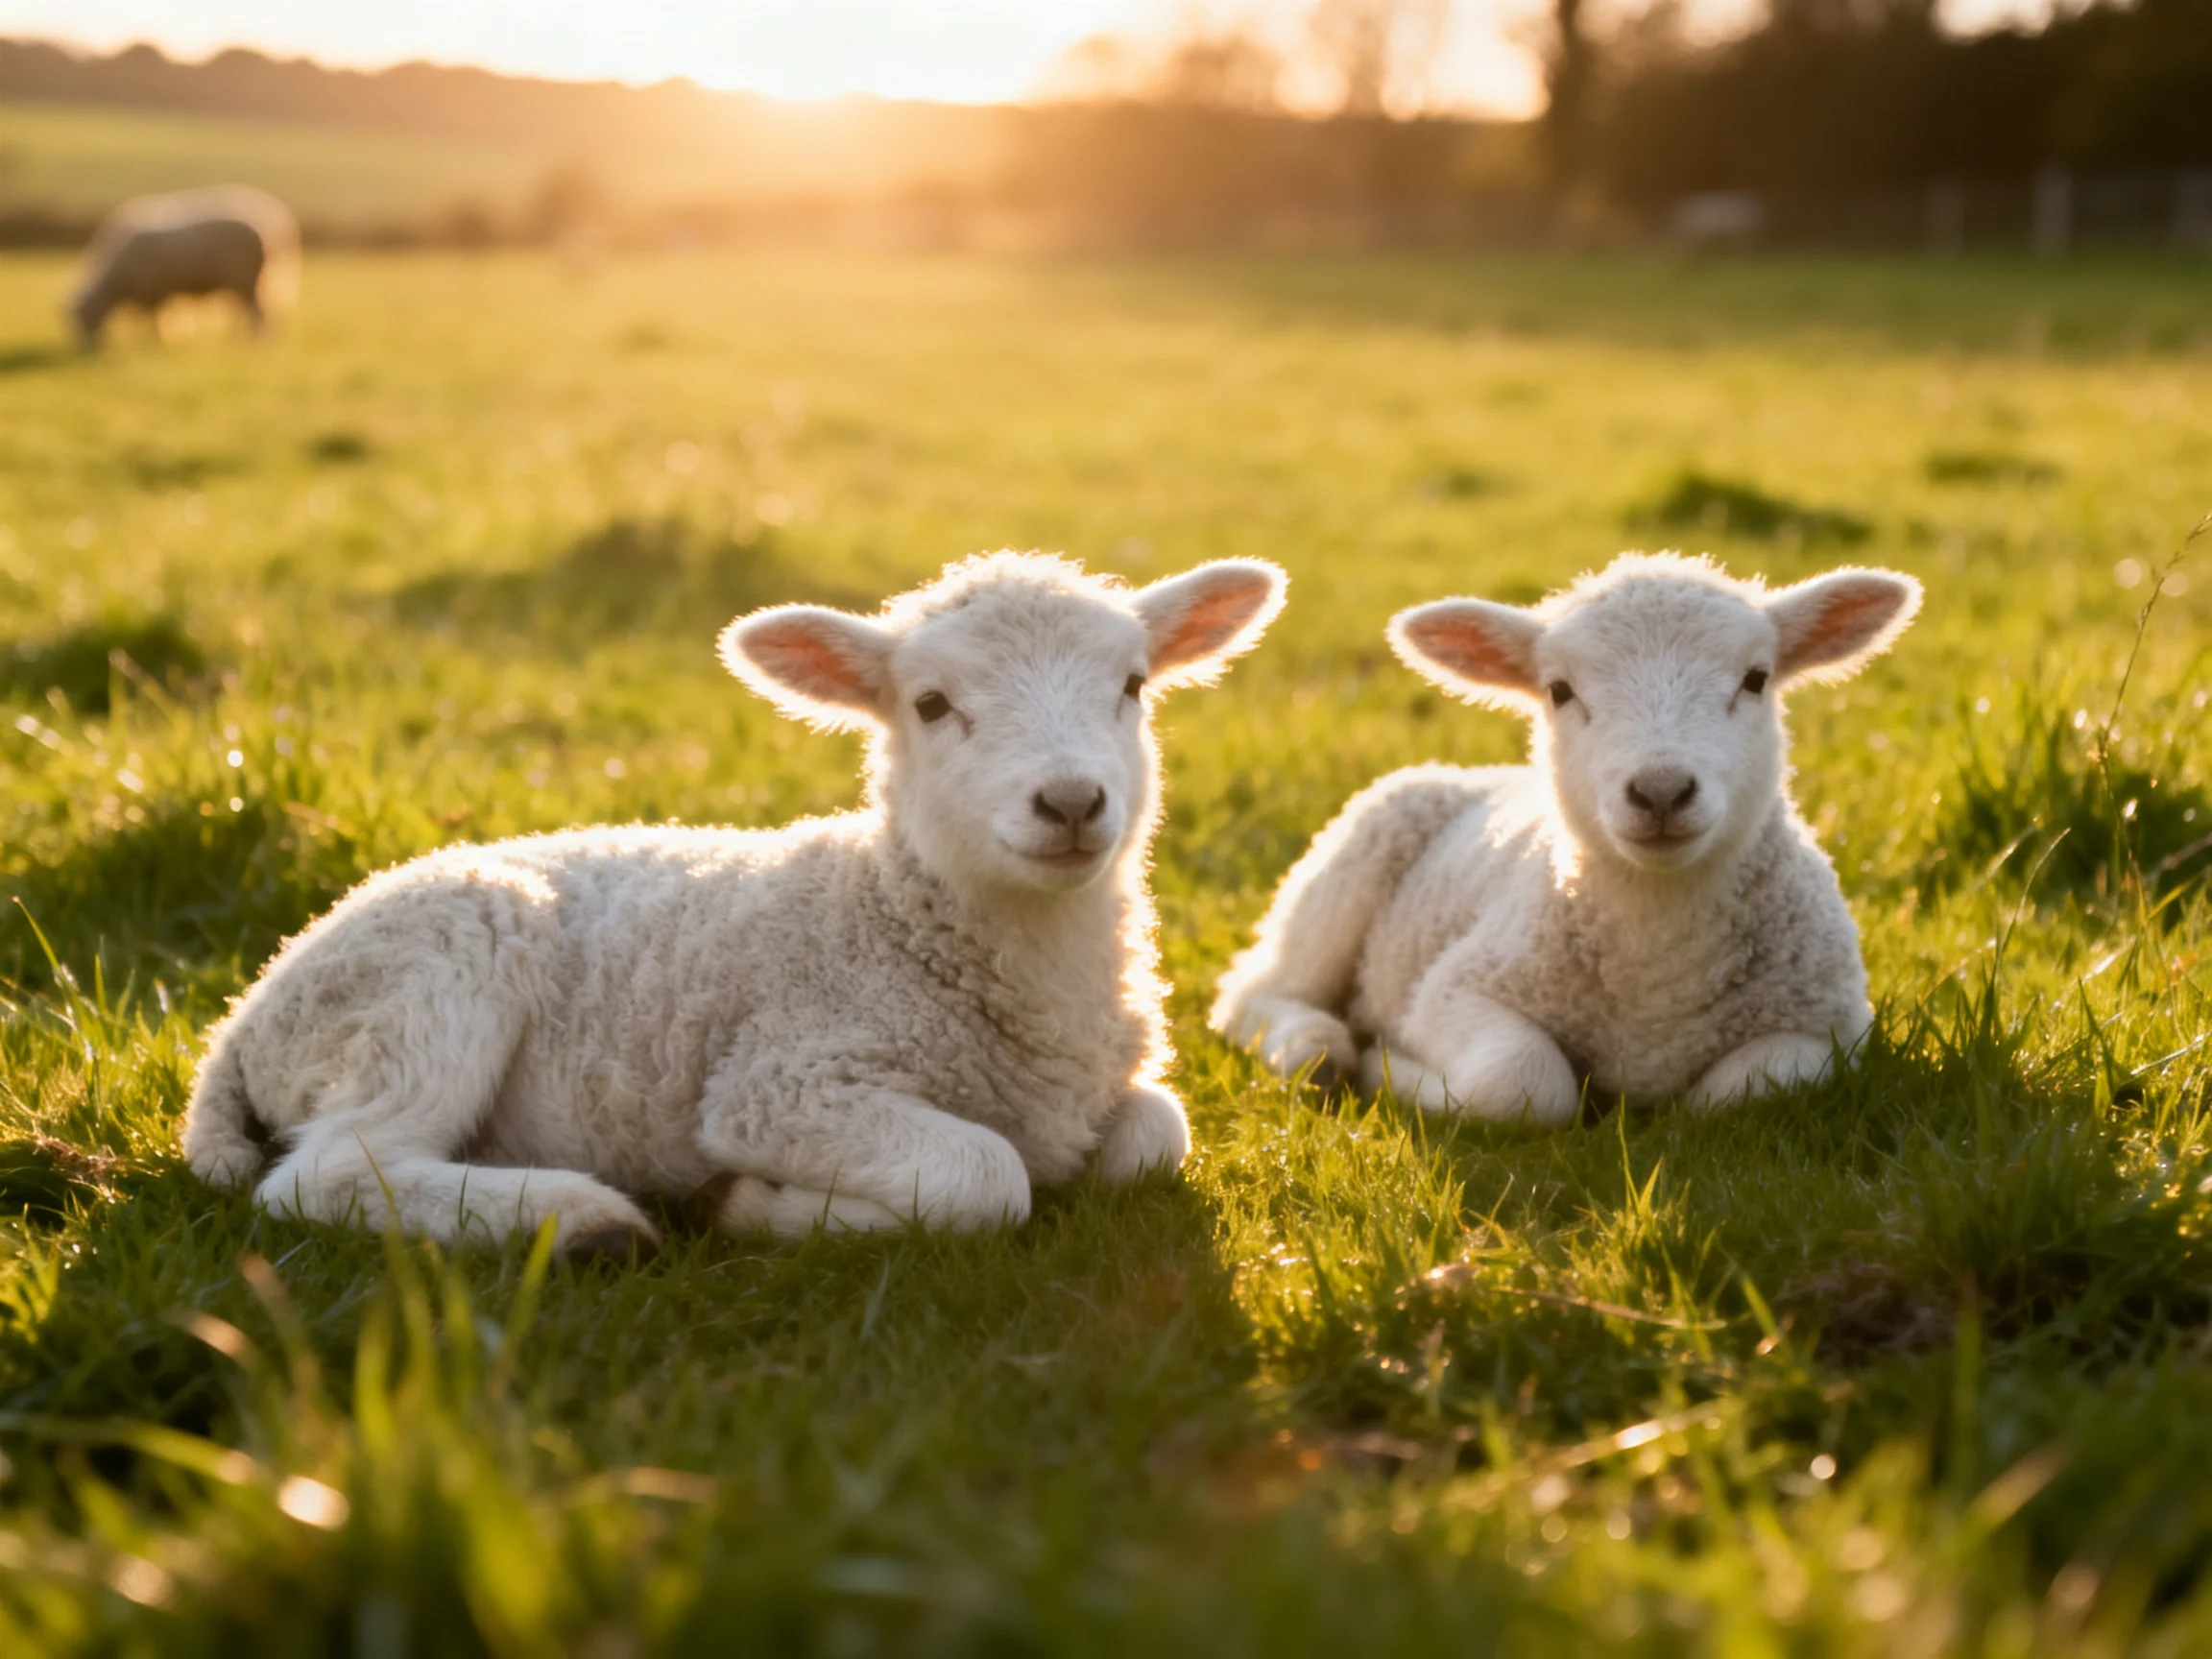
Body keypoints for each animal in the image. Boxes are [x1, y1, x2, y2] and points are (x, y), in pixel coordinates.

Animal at [70, 186, 299, 347]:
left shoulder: (155, 291)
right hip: (251, 281)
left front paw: (159, 340)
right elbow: (163, 317)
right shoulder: (161, 293)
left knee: (258, 314)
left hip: (245, 278)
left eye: (85, 316)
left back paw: (254, 342)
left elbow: (157, 320)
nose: (87, 348)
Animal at [181, 551, 1287, 1254]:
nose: (1070, 803)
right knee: (328, 1173)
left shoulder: (1111, 1093)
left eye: (1133, 685)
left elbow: (1155, 1137)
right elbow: (987, 1176)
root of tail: (244, 1017)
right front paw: (757, 1208)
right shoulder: (782, 1083)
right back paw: (582, 1224)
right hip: (428, 982)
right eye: (931, 704)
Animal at [1212, 552, 1920, 1124]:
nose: (1660, 791)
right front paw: (1391, 1070)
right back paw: (1315, 1047)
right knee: (1250, 992)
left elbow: (1741, 1094)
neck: (1657, 971)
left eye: (1755, 679)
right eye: (1559, 690)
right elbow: (1522, 1084)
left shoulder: (1830, 1028)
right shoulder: (1453, 989)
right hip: (1343, 871)